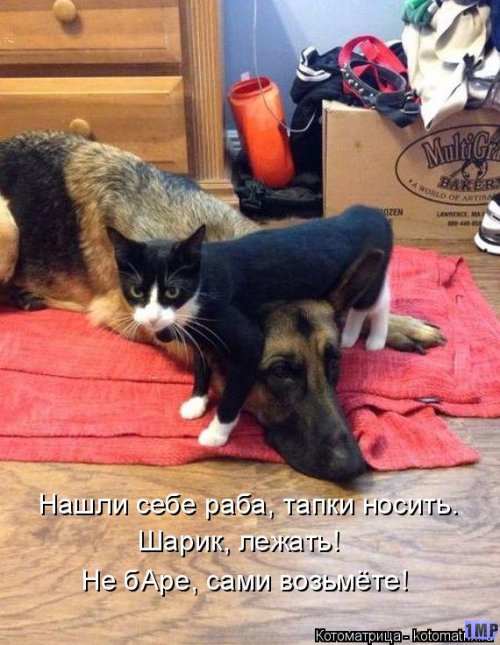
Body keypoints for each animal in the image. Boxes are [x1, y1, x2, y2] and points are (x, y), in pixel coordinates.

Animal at [109, 205, 393, 447]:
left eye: (172, 291)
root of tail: (370, 211)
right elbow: (201, 365)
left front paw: (216, 433)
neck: (200, 288)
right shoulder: (201, 337)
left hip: (370, 276)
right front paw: (197, 401)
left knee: (377, 301)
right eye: (136, 291)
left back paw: (374, 339)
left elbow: (233, 393)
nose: (152, 318)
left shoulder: (247, 341)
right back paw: (350, 335)